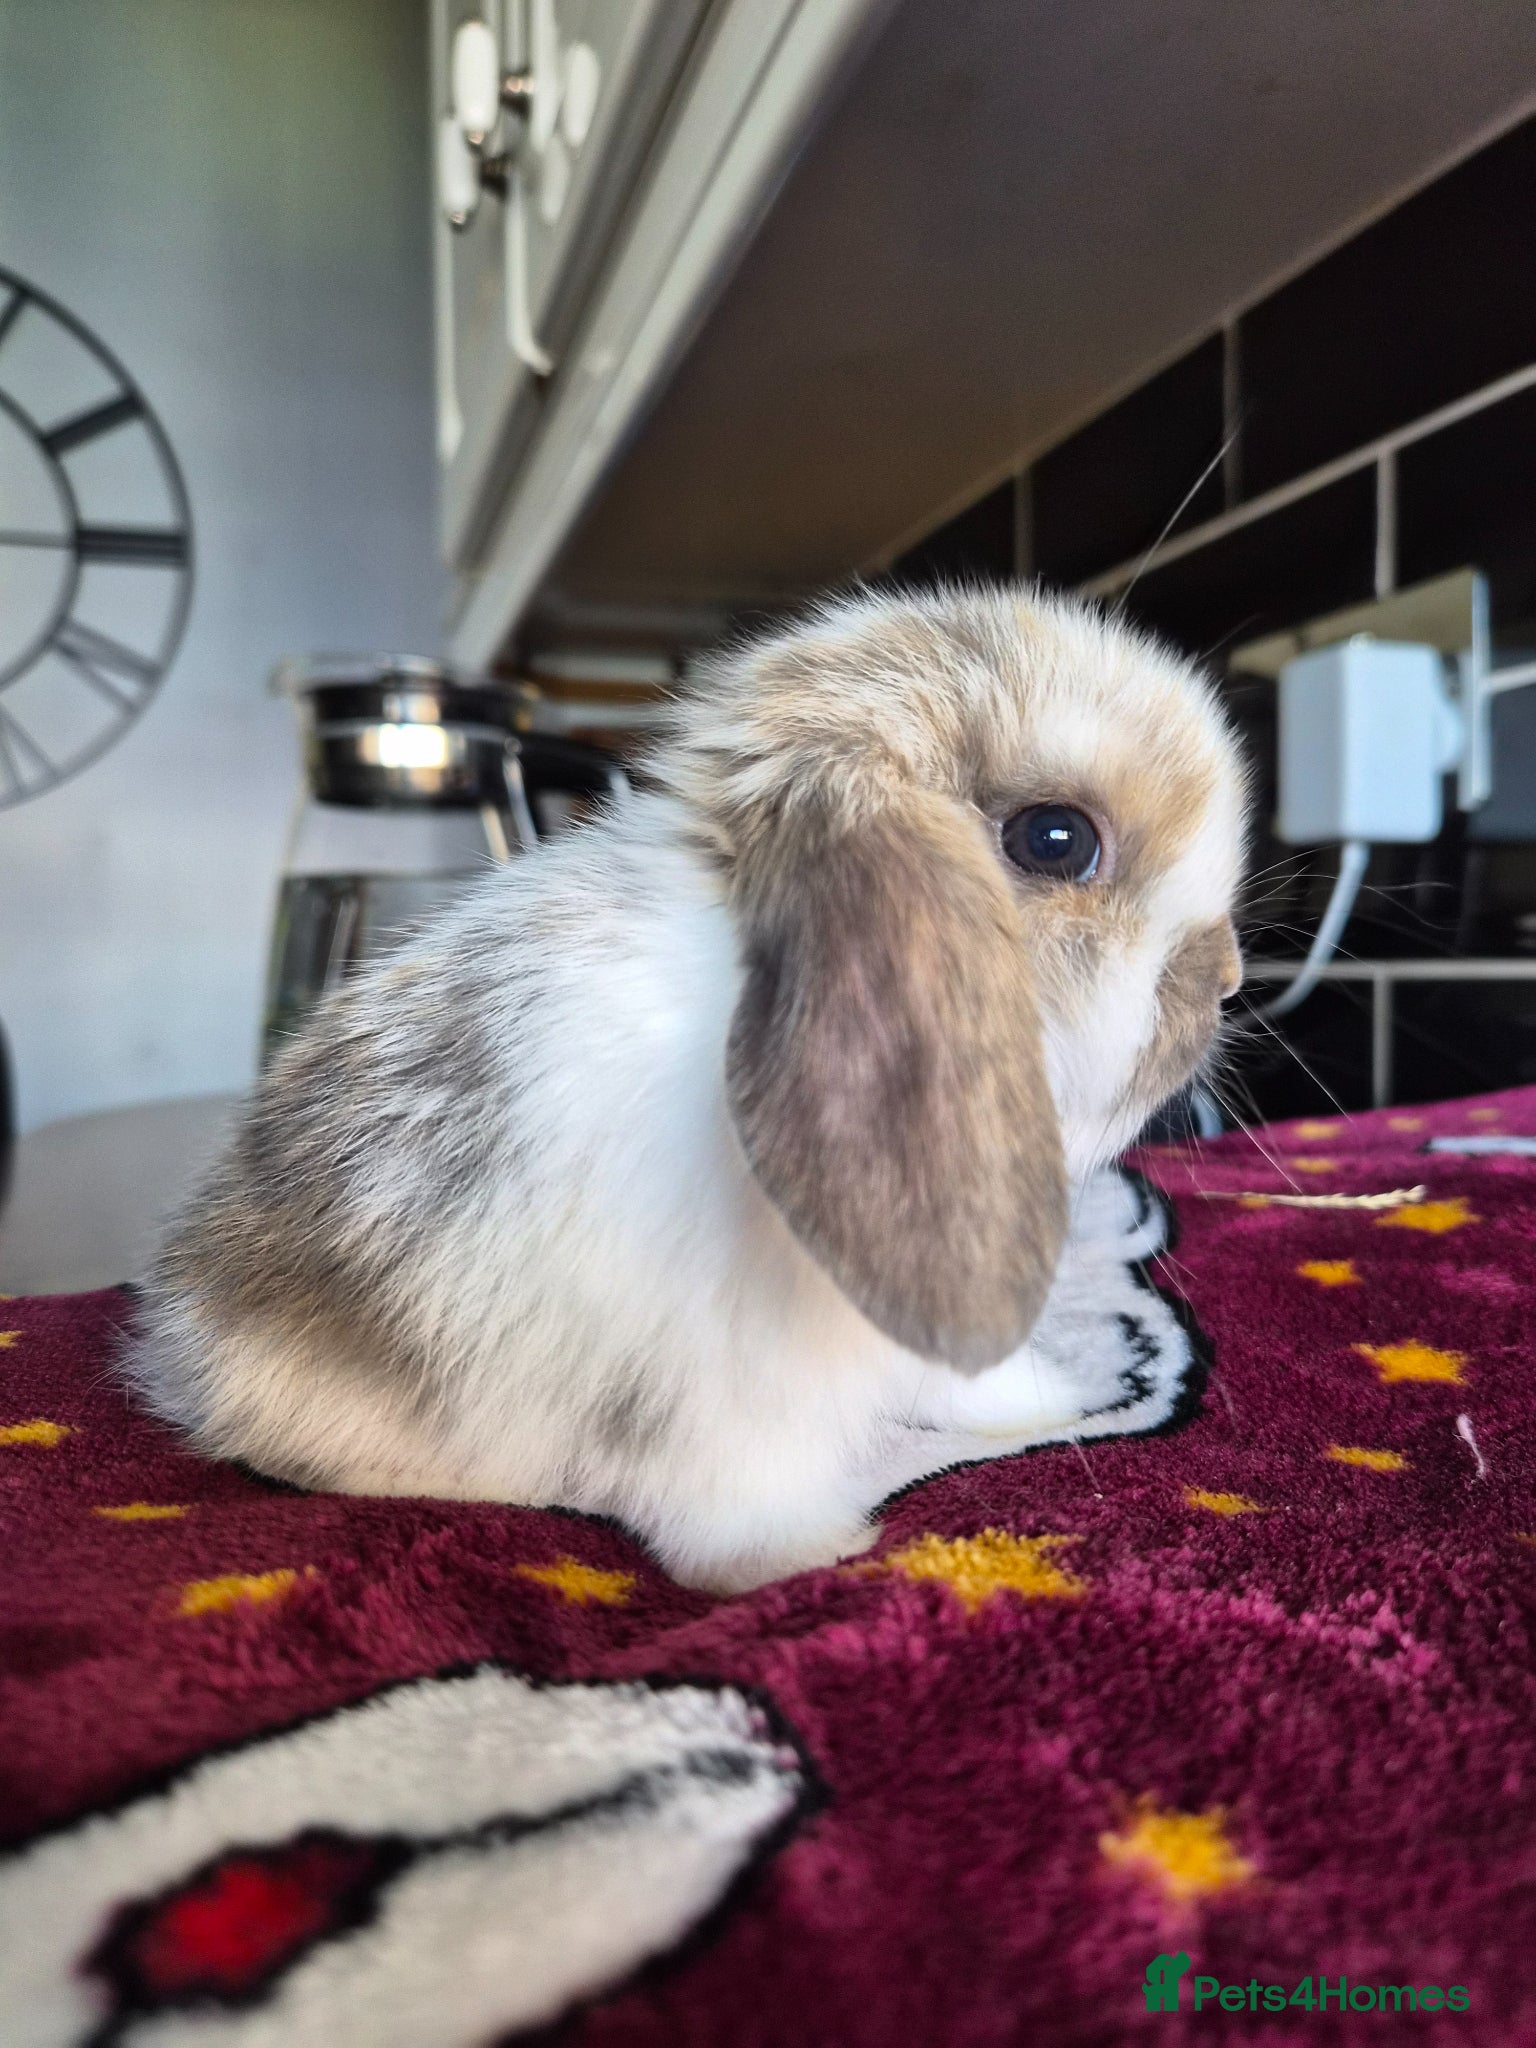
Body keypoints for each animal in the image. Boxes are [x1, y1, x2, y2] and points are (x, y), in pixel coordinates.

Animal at [123, 585, 1247, 1593]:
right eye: (1056, 839)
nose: (1229, 977)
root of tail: (181, 1323)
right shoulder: (699, 1388)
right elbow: (733, 1488)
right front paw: (804, 1558)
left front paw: (1045, 1404)